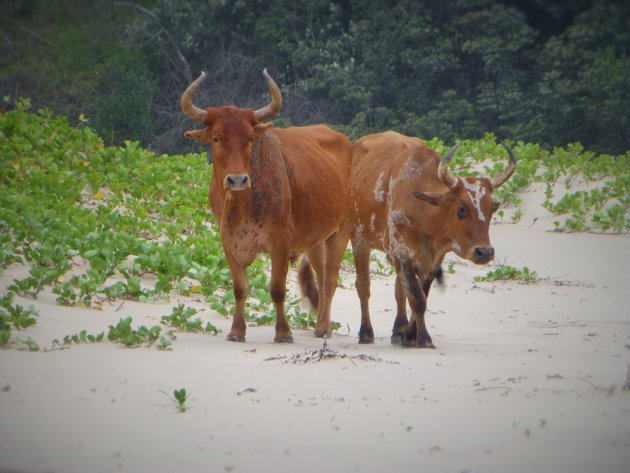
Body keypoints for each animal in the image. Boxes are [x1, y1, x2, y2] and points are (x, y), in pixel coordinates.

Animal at [180, 68, 354, 342]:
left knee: (330, 279)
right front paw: (236, 330)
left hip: (341, 232)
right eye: (216, 138)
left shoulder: (280, 242)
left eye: (250, 138)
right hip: (316, 239)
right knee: (320, 276)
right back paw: (318, 322)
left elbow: (277, 289)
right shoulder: (228, 242)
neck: (242, 205)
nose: (237, 180)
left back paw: (324, 326)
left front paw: (283, 332)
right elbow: (240, 288)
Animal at [350, 132, 520, 346]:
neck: (422, 212)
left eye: (492, 208)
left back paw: (398, 330)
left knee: (398, 291)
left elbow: (420, 295)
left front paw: (409, 335)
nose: (485, 252)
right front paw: (423, 338)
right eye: (461, 208)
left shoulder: (431, 261)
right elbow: (417, 298)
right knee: (363, 286)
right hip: (358, 239)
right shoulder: (401, 254)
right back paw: (365, 332)